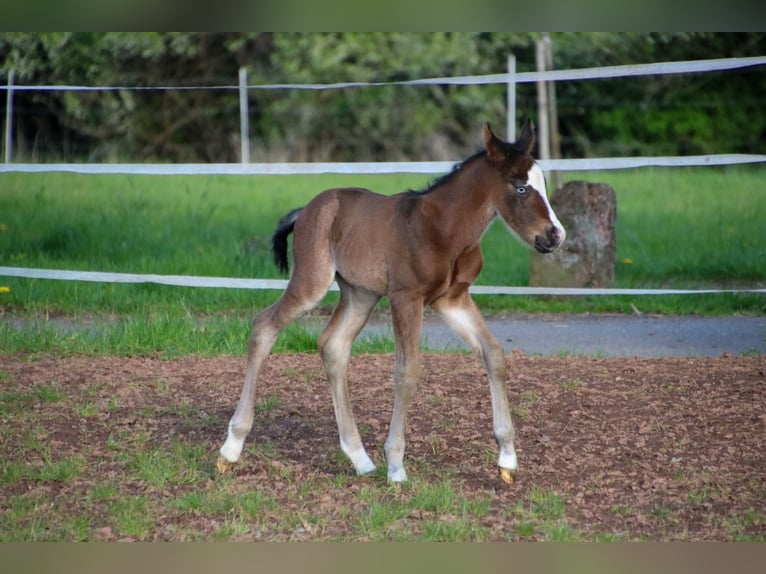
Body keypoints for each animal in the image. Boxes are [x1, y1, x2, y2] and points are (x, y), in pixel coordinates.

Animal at [217, 120, 565, 483]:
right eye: (521, 188)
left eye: (542, 184)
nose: (555, 235)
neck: (444, 228)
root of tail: (306, 210)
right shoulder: (406, 298)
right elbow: (406, 371)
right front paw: (396, 465)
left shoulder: (453, 299)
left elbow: (494, 355)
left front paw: (507, 459)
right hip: (311, 282)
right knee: (264, 327)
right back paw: (231, 448)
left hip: (360, 294)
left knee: (333, 346)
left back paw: (360, 458)